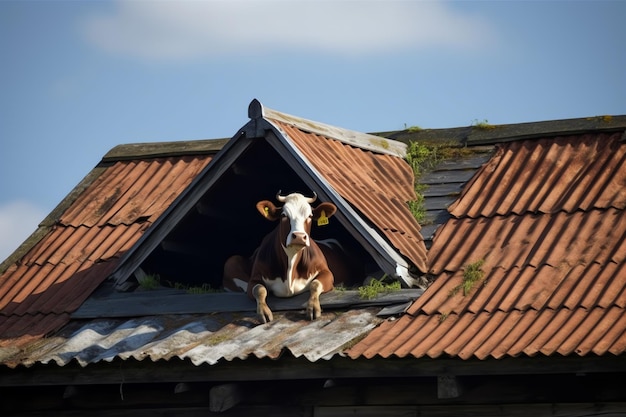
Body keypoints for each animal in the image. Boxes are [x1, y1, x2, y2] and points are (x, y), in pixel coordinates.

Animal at [223, 190, 352, 324]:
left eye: (310, 216)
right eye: (284, 215)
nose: (299, 236)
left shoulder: (326, 272)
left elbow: (315, 284)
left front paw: (313, 307)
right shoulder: (254, 278)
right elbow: (259, 289)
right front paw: (264, 311)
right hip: (231, 262)